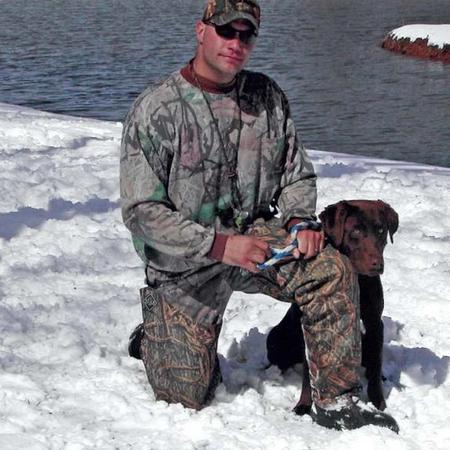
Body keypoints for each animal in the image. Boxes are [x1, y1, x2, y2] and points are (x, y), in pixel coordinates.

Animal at [266, 200, 399, 414]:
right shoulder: (310, 324)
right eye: (356, 231)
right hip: (275, 337)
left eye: (381, 230)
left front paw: (378, 402)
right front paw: (303, 405)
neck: (357, 279)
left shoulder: (374, 324)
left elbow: (376, 364)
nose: (377, 265)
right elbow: (308, 371)